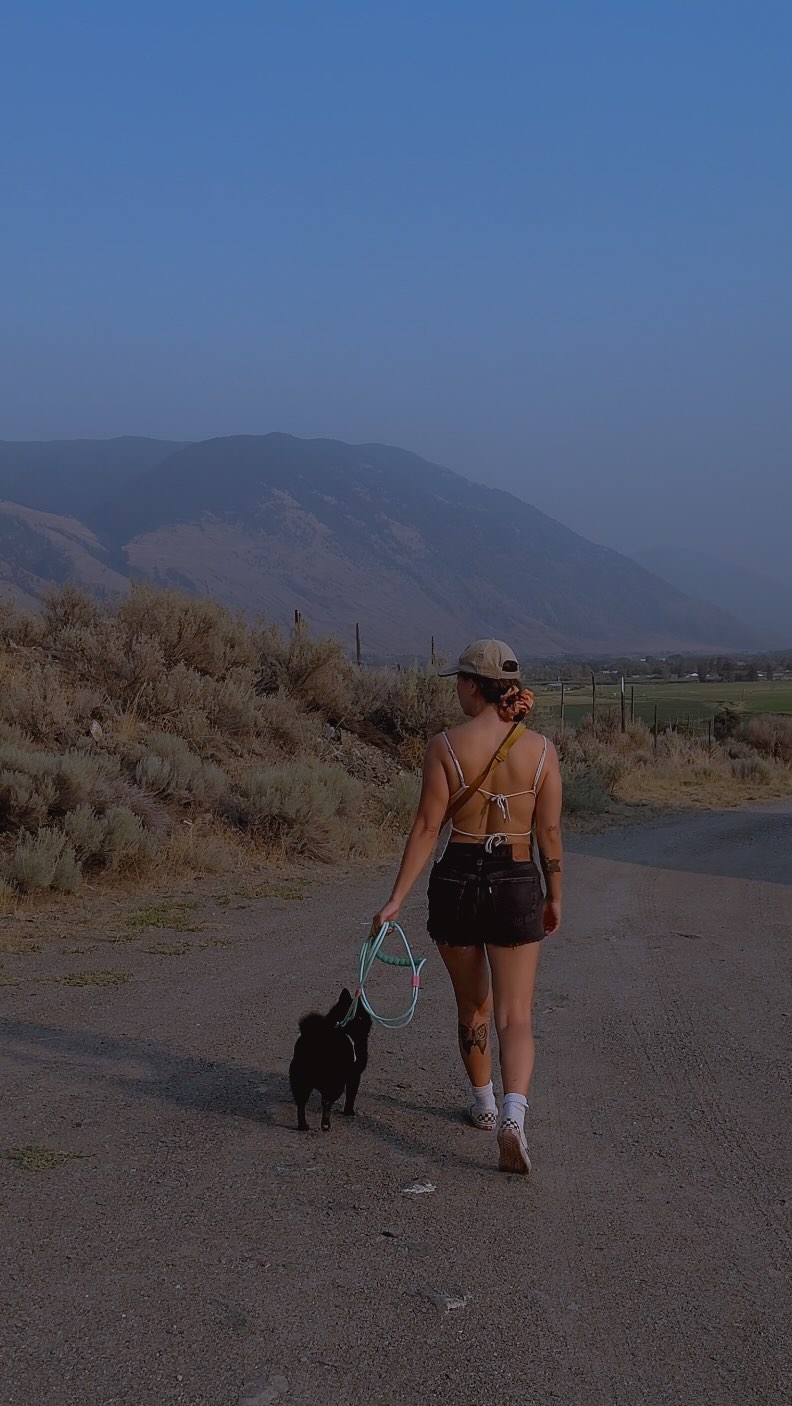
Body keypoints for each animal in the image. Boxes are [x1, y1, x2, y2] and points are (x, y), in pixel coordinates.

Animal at [289, 989, 374, 1130]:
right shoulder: (355, 1075)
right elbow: (351, 1095)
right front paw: (349, 1112)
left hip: (301, 1081)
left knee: (301, 1105)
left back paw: (303, 1125)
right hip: (335, 1083)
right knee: (326, 1102)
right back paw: (325, 1125)